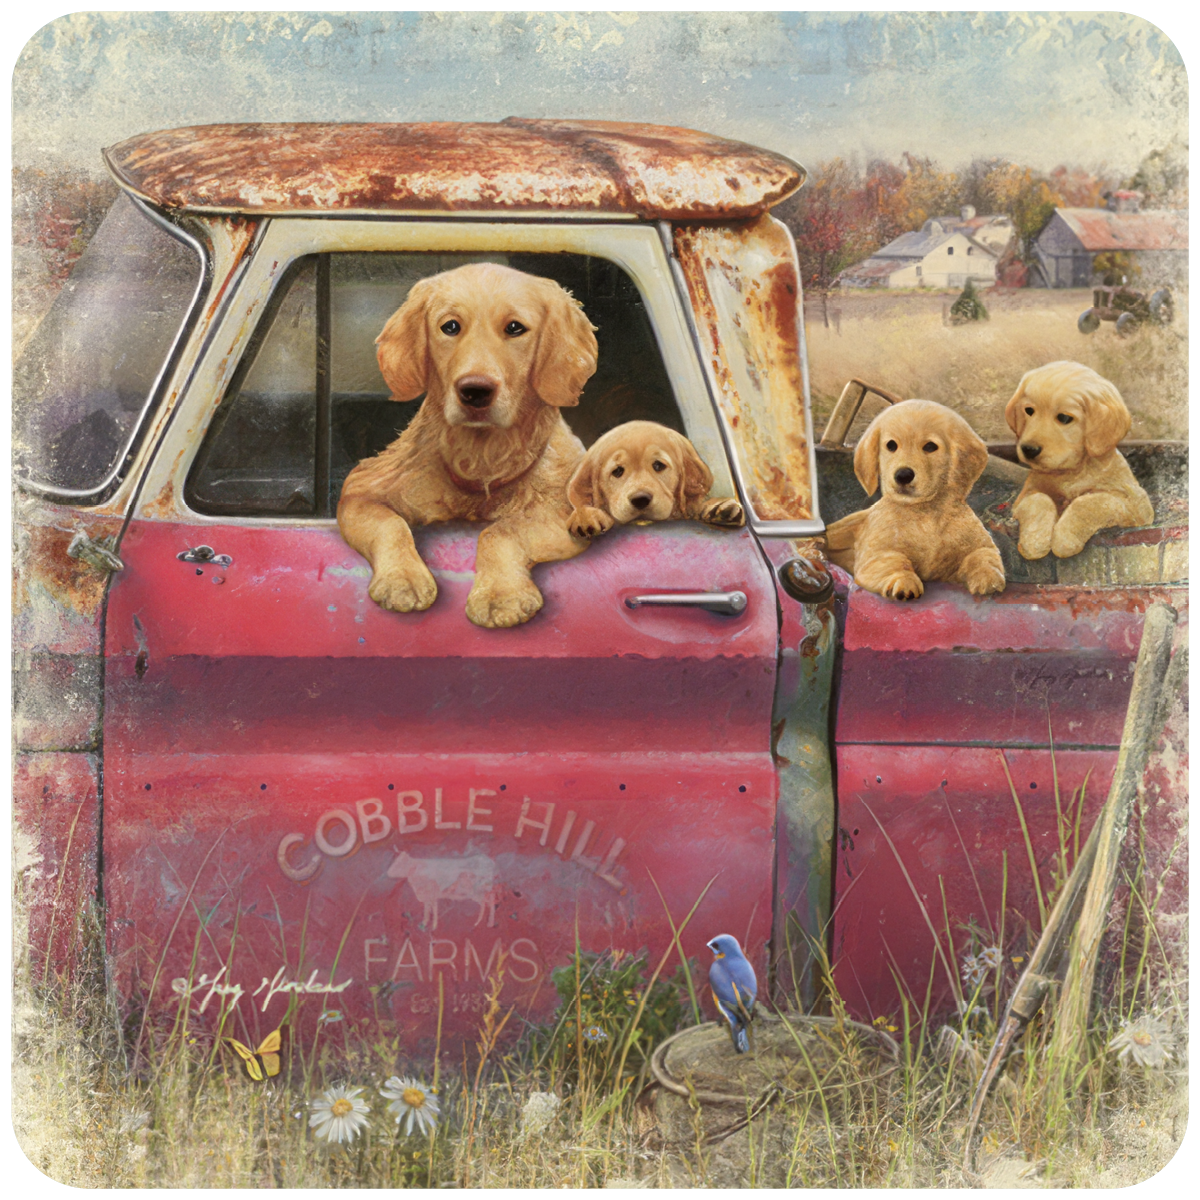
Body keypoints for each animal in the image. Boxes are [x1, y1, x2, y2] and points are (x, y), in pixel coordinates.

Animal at [825, 398, 1003, 600]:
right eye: (891, 445)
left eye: (930, 447)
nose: (903, 475)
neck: (925, 513)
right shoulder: (875, 556)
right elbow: (894, 561)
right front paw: (903, 581)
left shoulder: (981, 545)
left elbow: (982, 556)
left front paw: (988, 577)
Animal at [1003, 357, 1152, 559]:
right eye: (1029, 411)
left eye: (1064, 418)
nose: (1028, 449)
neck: (1072, 471)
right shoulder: (1024, 497)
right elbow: (1040, 500)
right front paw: (1035, 542)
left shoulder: (1137, 505)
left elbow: (1090, 501)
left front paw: (1065, 539)